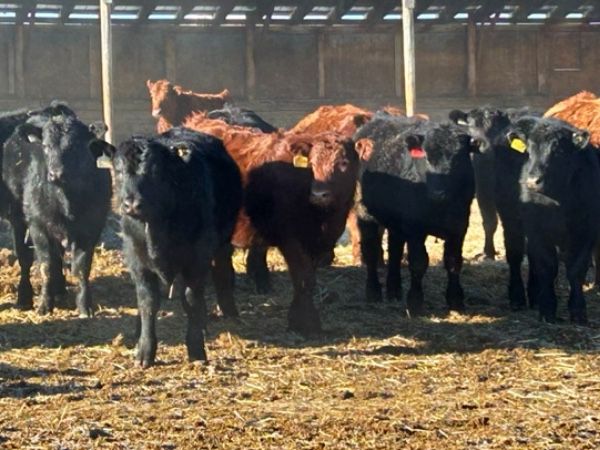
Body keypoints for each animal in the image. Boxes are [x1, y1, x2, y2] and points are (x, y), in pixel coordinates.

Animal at [3, 107, 111, 316]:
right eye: (46, 146)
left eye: (75, 147)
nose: (55, 173)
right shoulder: (39, 227)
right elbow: (46, 266)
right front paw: (44, 305)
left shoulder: (91, 229)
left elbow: (81, 267)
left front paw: (84, 306)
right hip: (19, 218)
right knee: (25, 258)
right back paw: (24, 298)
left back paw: (59, 291)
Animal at [93, 127, 242, 367]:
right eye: (119, 171)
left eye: (155, 172)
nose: (131, 204)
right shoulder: (137, 260)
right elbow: (147, 302)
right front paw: (144, 350)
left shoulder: (197, 259)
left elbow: (191, 300)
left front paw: (196, 349)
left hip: (222, 243)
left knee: (221, 272)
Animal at [183, 113, 359, 335]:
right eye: (311, 164)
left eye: (344, 163)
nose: (319, 194)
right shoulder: (292, 239)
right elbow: (304, 278)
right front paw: (305, 323)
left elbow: (309, 278)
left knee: (221, 267)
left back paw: (229, 312)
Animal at [356, 115, 482, 315]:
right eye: (426, 158)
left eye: (457, 160)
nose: (438, 193)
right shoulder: (415, 228)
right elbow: (418, 263)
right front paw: (415, 302)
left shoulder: (459, 227)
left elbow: (454, 262)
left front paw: (456, 300)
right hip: (365, 213)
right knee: (370, 249)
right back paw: (373, 292)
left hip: (396, 222)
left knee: (395, 250)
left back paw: (394, 290)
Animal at [509, 116, 600, 324]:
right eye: (529, 151)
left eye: (558, 151)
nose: (532, 181)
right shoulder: (536, 232)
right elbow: (547, 267)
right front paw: (547, 309)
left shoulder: (586, 232)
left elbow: (576, 269)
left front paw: (578, 311)